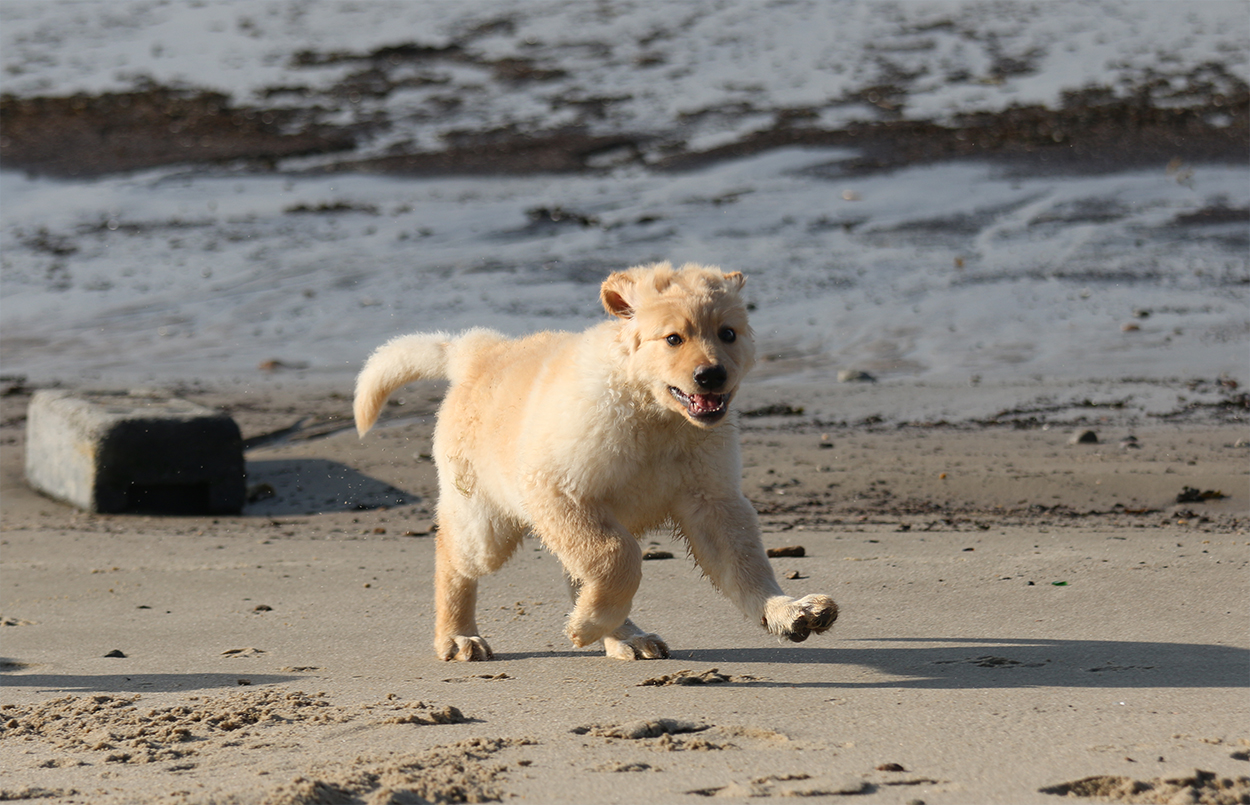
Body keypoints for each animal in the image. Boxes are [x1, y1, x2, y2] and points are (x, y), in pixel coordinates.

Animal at [353, 262, 838, 661]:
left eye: (728, 333)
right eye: (674, 338)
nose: (712, 375)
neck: (654, 415)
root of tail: (480, 351)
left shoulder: (714, 501)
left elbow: (745, 566)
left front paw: (788, 612)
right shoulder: (557, 489)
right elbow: (617, 557)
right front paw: (585, 626)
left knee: (580, 574)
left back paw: (627, 636)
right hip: (486, 519)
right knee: (454, 556)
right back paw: (458, 637)